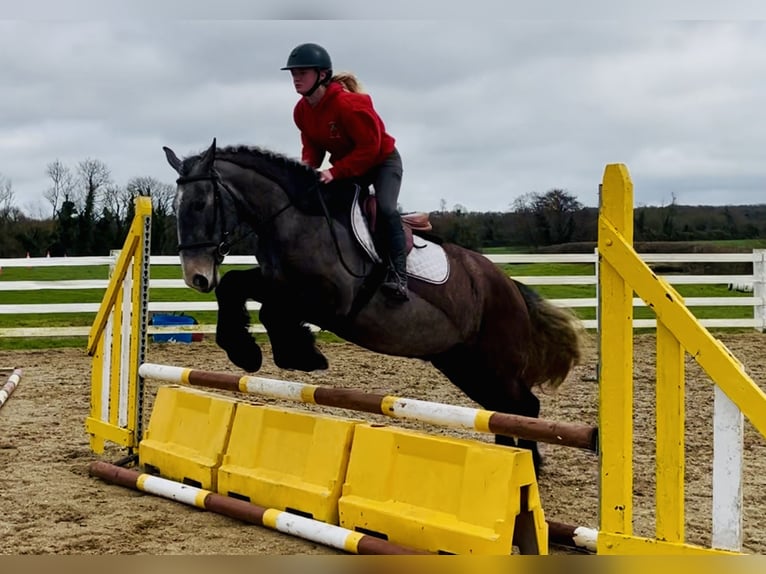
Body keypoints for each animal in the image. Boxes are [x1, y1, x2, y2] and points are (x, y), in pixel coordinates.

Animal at [162, 138, 588, 471]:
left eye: (200, 204)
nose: (196, 277)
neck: (294, 219)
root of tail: (509, 286)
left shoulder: (328, 301)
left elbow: (272, 310)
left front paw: (298, 353)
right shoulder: (276, 283)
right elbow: (234, 286)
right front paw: (246, 351)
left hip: (492, 362)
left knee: (524, 407)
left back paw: (528, 466)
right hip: (463, 363)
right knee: (503, 410)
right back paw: (511, 462)